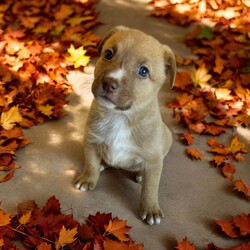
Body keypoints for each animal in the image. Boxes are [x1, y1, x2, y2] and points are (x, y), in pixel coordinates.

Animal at [74, 26, 176, 226]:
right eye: (108, 54)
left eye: (143, 71)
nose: (109, 83)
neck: (120, 117)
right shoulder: (90, 140)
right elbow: (91, 163)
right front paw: (88, 178)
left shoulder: (154, 160)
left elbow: (151, 187)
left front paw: (150, 208)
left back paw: (139, 174)